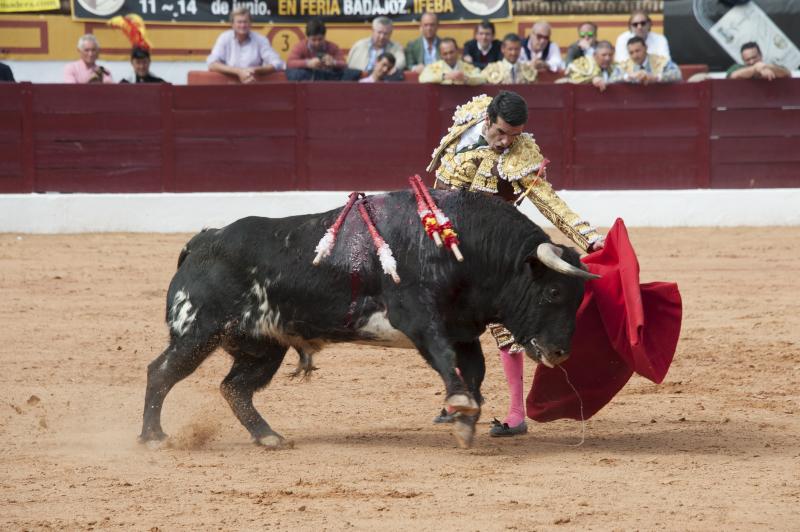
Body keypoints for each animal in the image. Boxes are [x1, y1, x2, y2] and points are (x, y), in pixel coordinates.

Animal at [141, 191, 596, 448]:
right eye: (553, 292)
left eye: (578, 298)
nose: (560, 351)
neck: (463, 245)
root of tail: (203, 241)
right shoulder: (419, 318)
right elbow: (446, 359)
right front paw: (460, 406)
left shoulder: (463, 330)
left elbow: (473, 369)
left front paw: (465, 419)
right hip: (198, 331)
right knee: (161, 372)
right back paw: (153, 438)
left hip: (263, 347)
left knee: (234, 388)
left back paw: (268, 437)